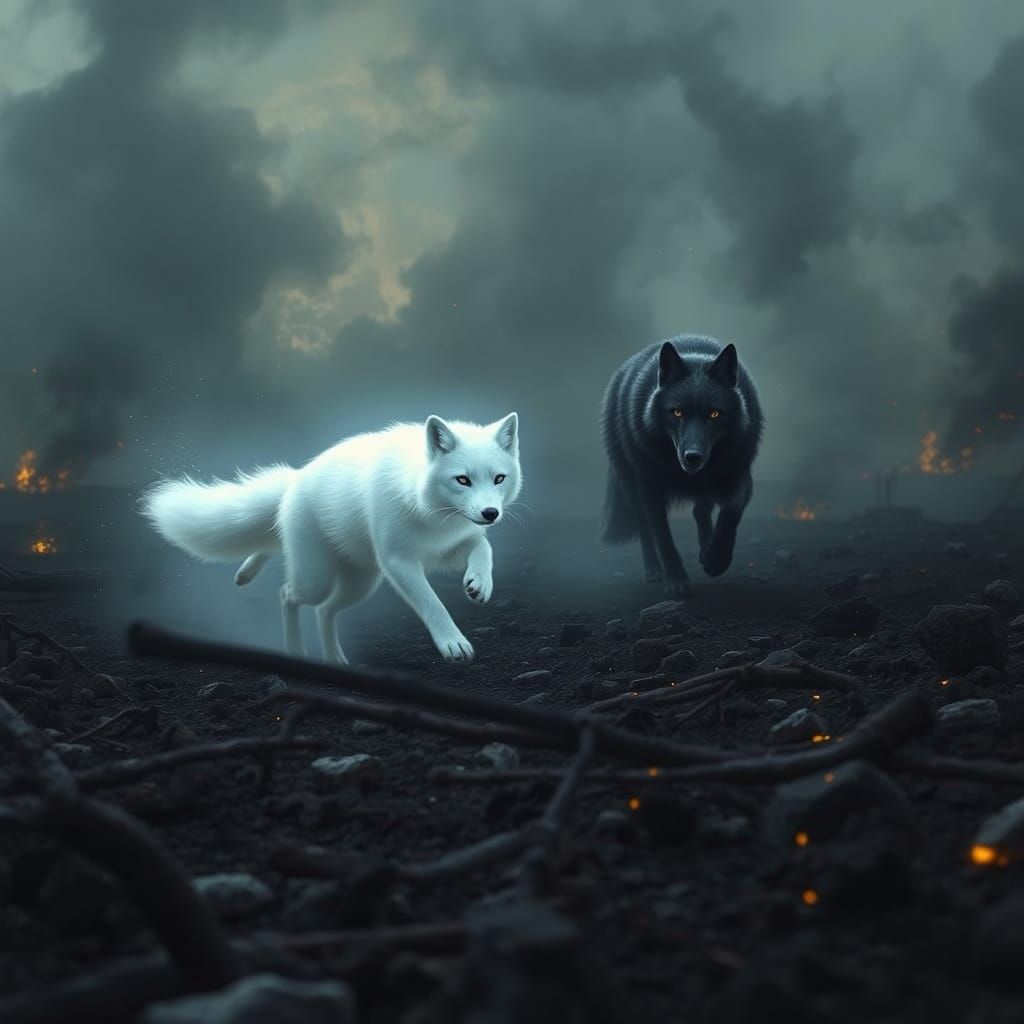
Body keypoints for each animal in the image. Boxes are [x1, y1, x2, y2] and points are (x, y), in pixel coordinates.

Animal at [141, 413, 522, 664]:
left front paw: (479, 584)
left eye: (499, 478)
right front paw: (453, 644)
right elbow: (432, 604)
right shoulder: (399, 561)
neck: (428, 509)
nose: (490, 513)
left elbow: (482, 547)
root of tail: (296, 477)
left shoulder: (445, 549)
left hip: (361, 583)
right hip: (318, 578)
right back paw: (295, 649)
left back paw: (332, 657)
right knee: (288, 594)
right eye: (462, 480)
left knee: (323, 609)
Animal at [601, 335, 764, 597]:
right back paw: (654, 570)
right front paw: (677, 580)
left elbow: (730, 515)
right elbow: (663, 536)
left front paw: (716, 560)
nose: (692, 457)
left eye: (714, 413)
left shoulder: (739, 475)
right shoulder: (650, 489)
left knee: (700, 511)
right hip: (630, 484)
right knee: (644, 527)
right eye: (677, 412)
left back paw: (706, 549)